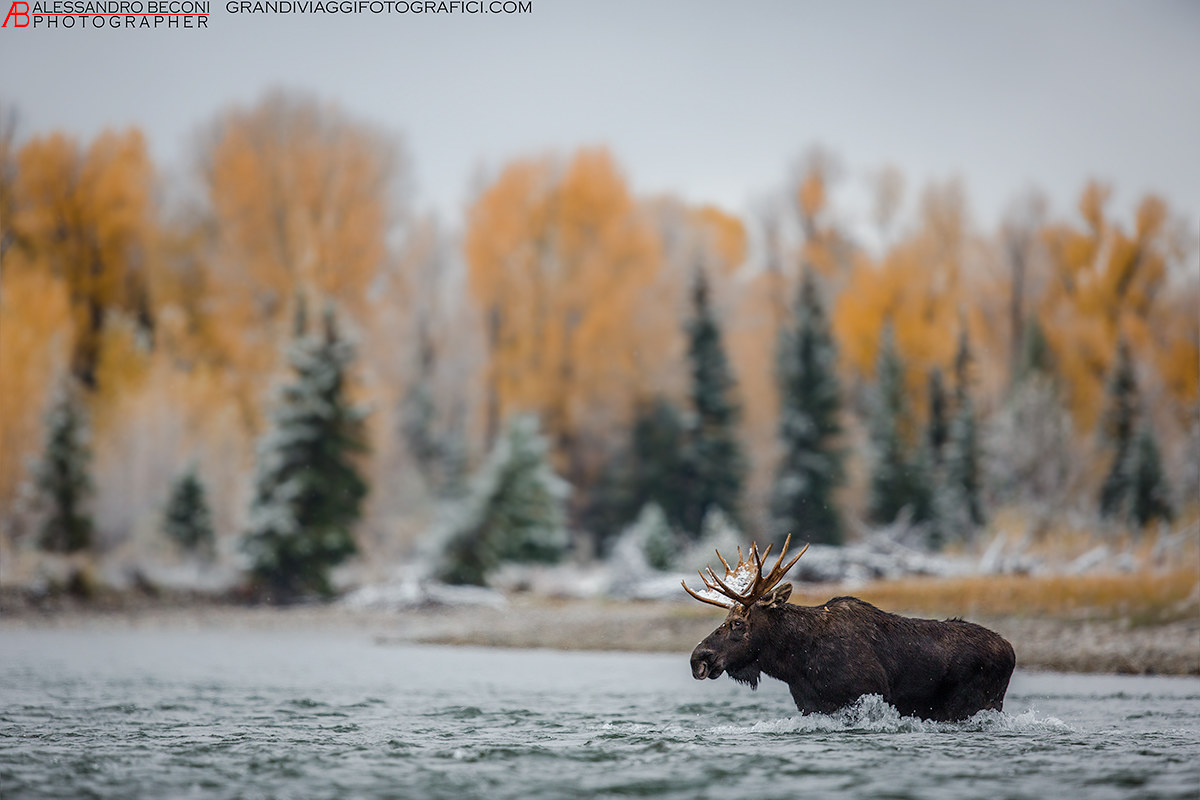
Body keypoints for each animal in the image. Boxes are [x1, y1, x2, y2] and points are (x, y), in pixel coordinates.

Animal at [683, 535, 1016, 722]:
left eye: (737, 623)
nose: (699, 658)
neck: (796, 662)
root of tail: (1011, 651)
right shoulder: (812, 706)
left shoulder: (864, 694)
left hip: (976, 704)